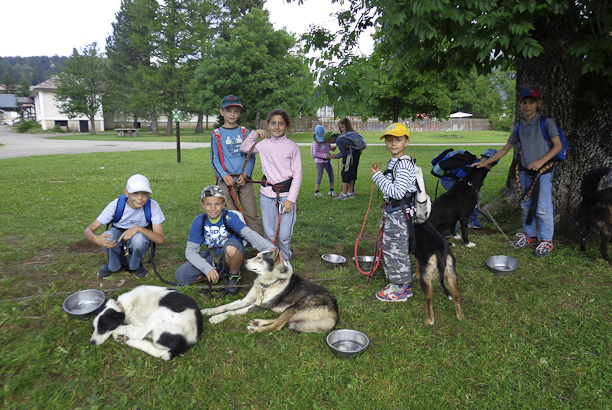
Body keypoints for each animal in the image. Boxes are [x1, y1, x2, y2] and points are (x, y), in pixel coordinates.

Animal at [203, 250, 342, 334]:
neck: (266, 283)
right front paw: (208, 311)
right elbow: (226, 306)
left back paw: (255, 329)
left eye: (259, 258)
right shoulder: (247, 300)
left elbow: (231, 312)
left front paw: (216, 318)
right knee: (279, 320)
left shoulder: (257, 305)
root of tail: (335, 314)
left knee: (278, 326)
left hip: (298, 305)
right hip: (291, 310)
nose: (243, 262)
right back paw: (257, 322)